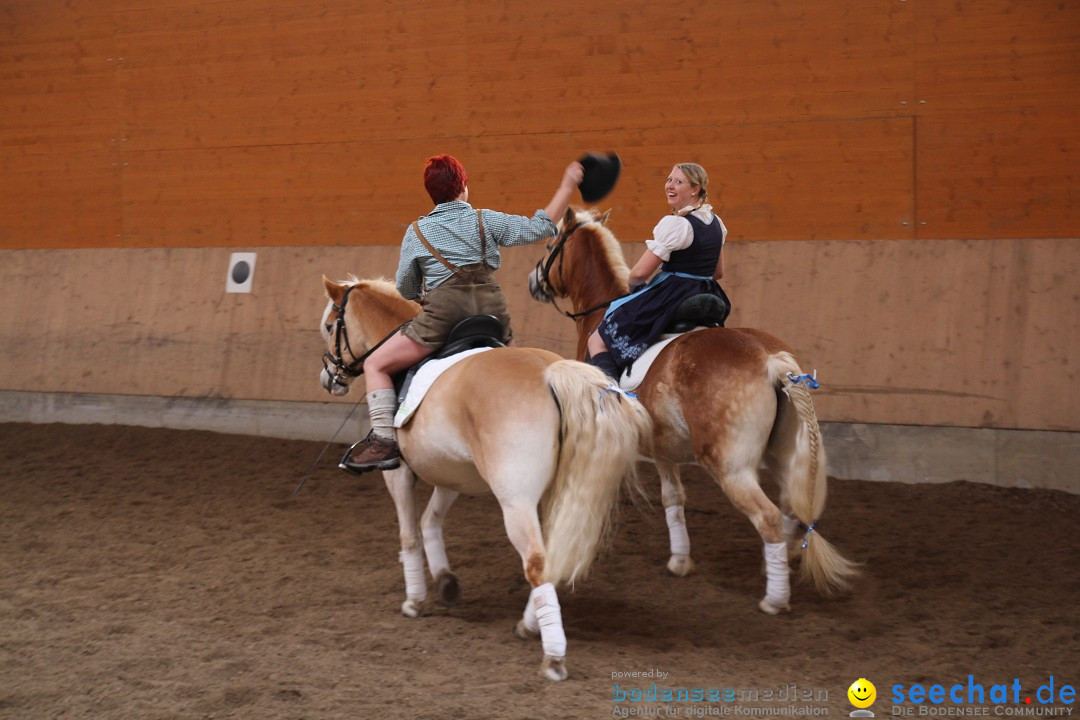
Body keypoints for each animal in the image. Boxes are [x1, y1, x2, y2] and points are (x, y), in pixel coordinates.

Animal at [313, 276, 648, 682]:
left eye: (330, 326)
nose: (329, 379)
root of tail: (551, 372)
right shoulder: (453, 472)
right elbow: (430, 521)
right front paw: (446, 582)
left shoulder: (399, 472)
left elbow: (409, 533)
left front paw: (415, 601)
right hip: (556, 492)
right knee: (551, 555)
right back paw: (530, 625)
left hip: (515, 500)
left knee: (536, 561)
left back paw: (553, 656)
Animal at [527, 209, 855, 613]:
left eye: (549, 245)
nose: (533, 281)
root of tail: (771, 360)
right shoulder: (663, 447)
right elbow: (674, 499)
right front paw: (680, 559)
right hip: (784, 455)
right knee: (792, 514)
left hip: (730, 467)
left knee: (768, 518)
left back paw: (774, 599)